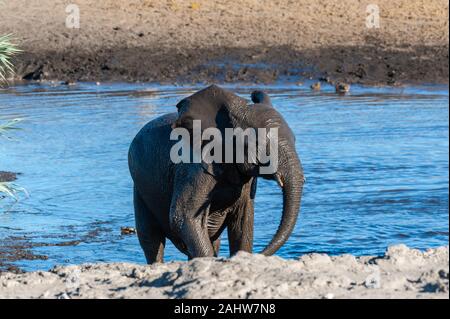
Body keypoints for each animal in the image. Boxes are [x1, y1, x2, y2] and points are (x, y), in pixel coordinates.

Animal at [128, 84, 304, 262]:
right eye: (259, 145)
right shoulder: (193, 167)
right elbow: (182, 217)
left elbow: (243, 222)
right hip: (140, 189)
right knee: (151, 239)